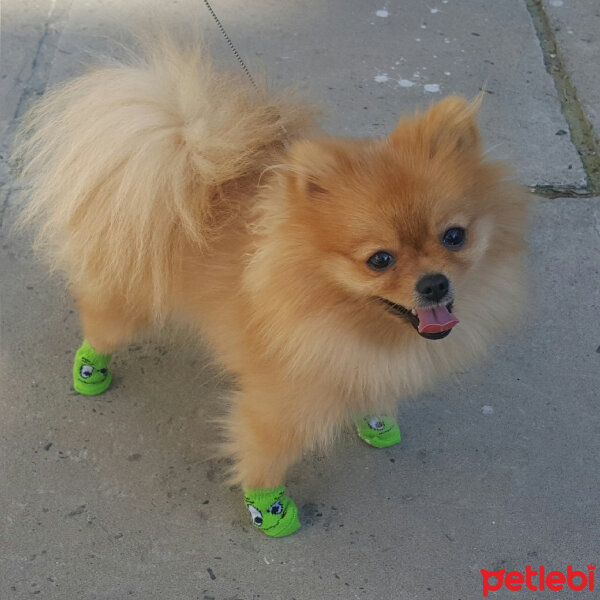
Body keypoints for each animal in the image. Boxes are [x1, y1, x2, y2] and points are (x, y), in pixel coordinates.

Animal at [15, 35, 528, 536]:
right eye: (379, 260)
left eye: (454, 236)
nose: (435, 284)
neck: (345, 316)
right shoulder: (278, 402)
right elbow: (265, 452)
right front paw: (269, 507)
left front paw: (376, 421)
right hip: (125, 301)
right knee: (98, 324)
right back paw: (90, 371)